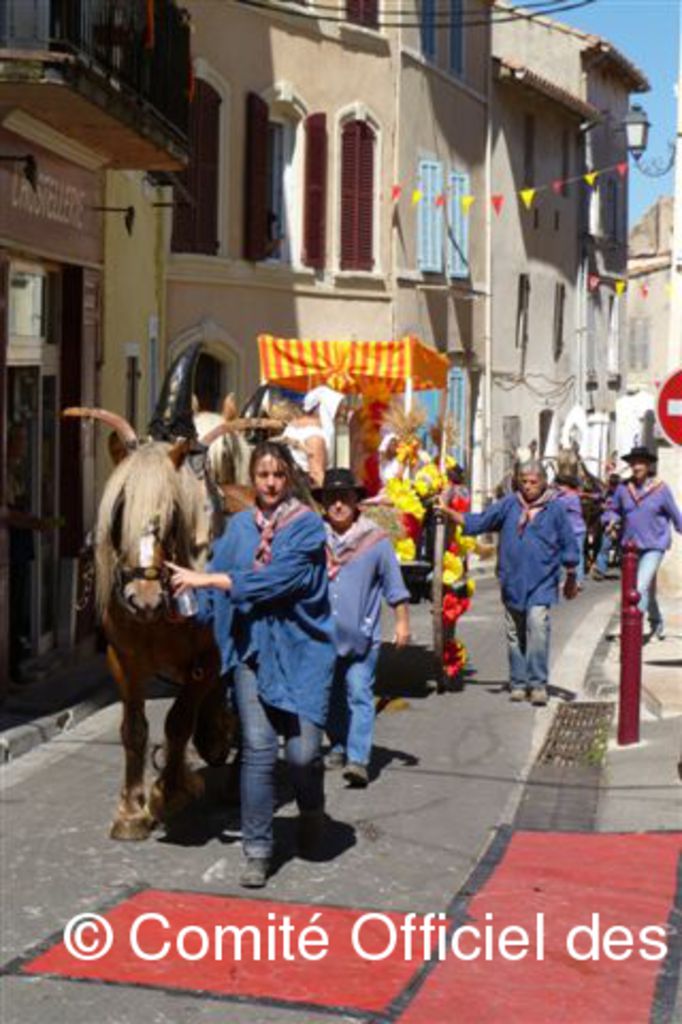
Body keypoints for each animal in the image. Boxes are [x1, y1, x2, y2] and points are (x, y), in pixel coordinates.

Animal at [63, 406, 238, 840]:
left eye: (171, 512)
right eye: (120, 510)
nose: (143, 599)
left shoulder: (206, 659)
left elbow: (177, 721)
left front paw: (169, 792)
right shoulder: (123, 659)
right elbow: (134, 729)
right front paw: (131, 812)